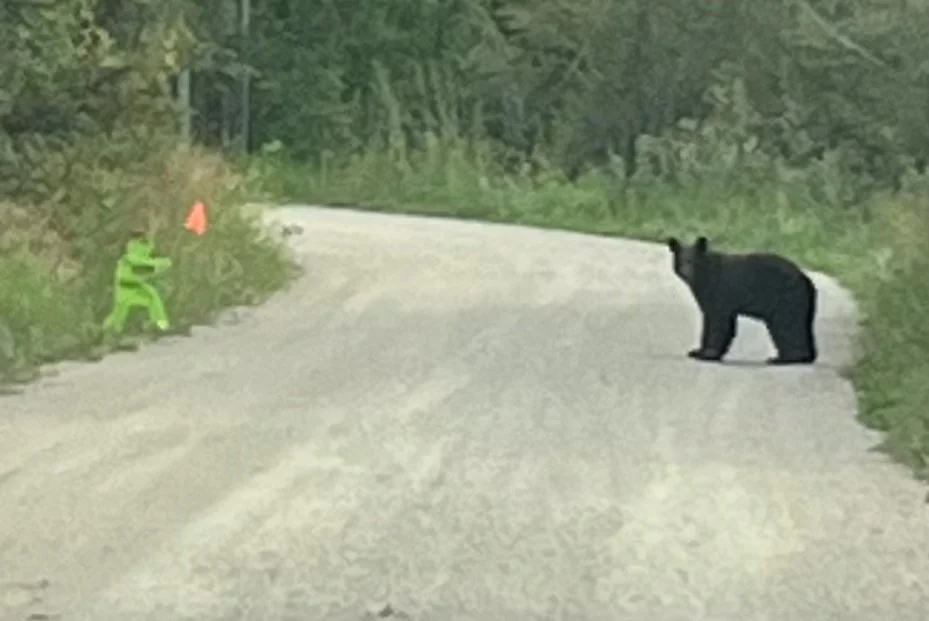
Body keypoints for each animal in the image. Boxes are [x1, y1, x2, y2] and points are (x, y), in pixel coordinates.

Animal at [666, 235, 818, 365]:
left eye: (693, 261)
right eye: (681, 260)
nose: (687, 273)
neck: (703, 277)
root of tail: (805, 278)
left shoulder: (718, 290)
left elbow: (717, 321)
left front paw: (706, 354)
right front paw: (698, 351)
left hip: (787, 298)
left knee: (788, 325)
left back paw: (784, 359)